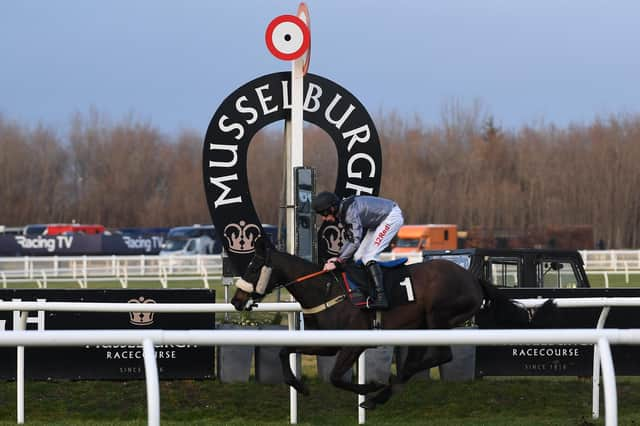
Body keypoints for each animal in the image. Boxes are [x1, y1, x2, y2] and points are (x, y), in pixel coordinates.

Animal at [230, 236, 556, 410]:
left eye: (253, 266)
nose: (235, 300)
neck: (326, 289)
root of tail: (473, 279)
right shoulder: (327, 342)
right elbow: (284, 351)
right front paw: (299, 385)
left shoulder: (352, 344)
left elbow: (336, 377)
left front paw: (368, 387)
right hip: (422, 326)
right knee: (416, 362)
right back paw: (385, 392)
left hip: (438, 317)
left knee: (441, 355)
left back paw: (380, 393)